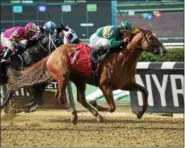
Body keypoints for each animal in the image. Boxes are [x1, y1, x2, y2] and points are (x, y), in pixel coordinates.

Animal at [2, 27, 166, 123]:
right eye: (151, 38)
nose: (164, 50)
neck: (121, 59)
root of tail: (51, 55)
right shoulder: (105, 86)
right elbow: (112, 107)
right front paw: (97, 105)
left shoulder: (126, 84)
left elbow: (145, 91)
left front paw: (140, 114)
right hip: (63, 76)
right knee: (60, 96)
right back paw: (75, 115)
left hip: (79, 80)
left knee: (80, 98)